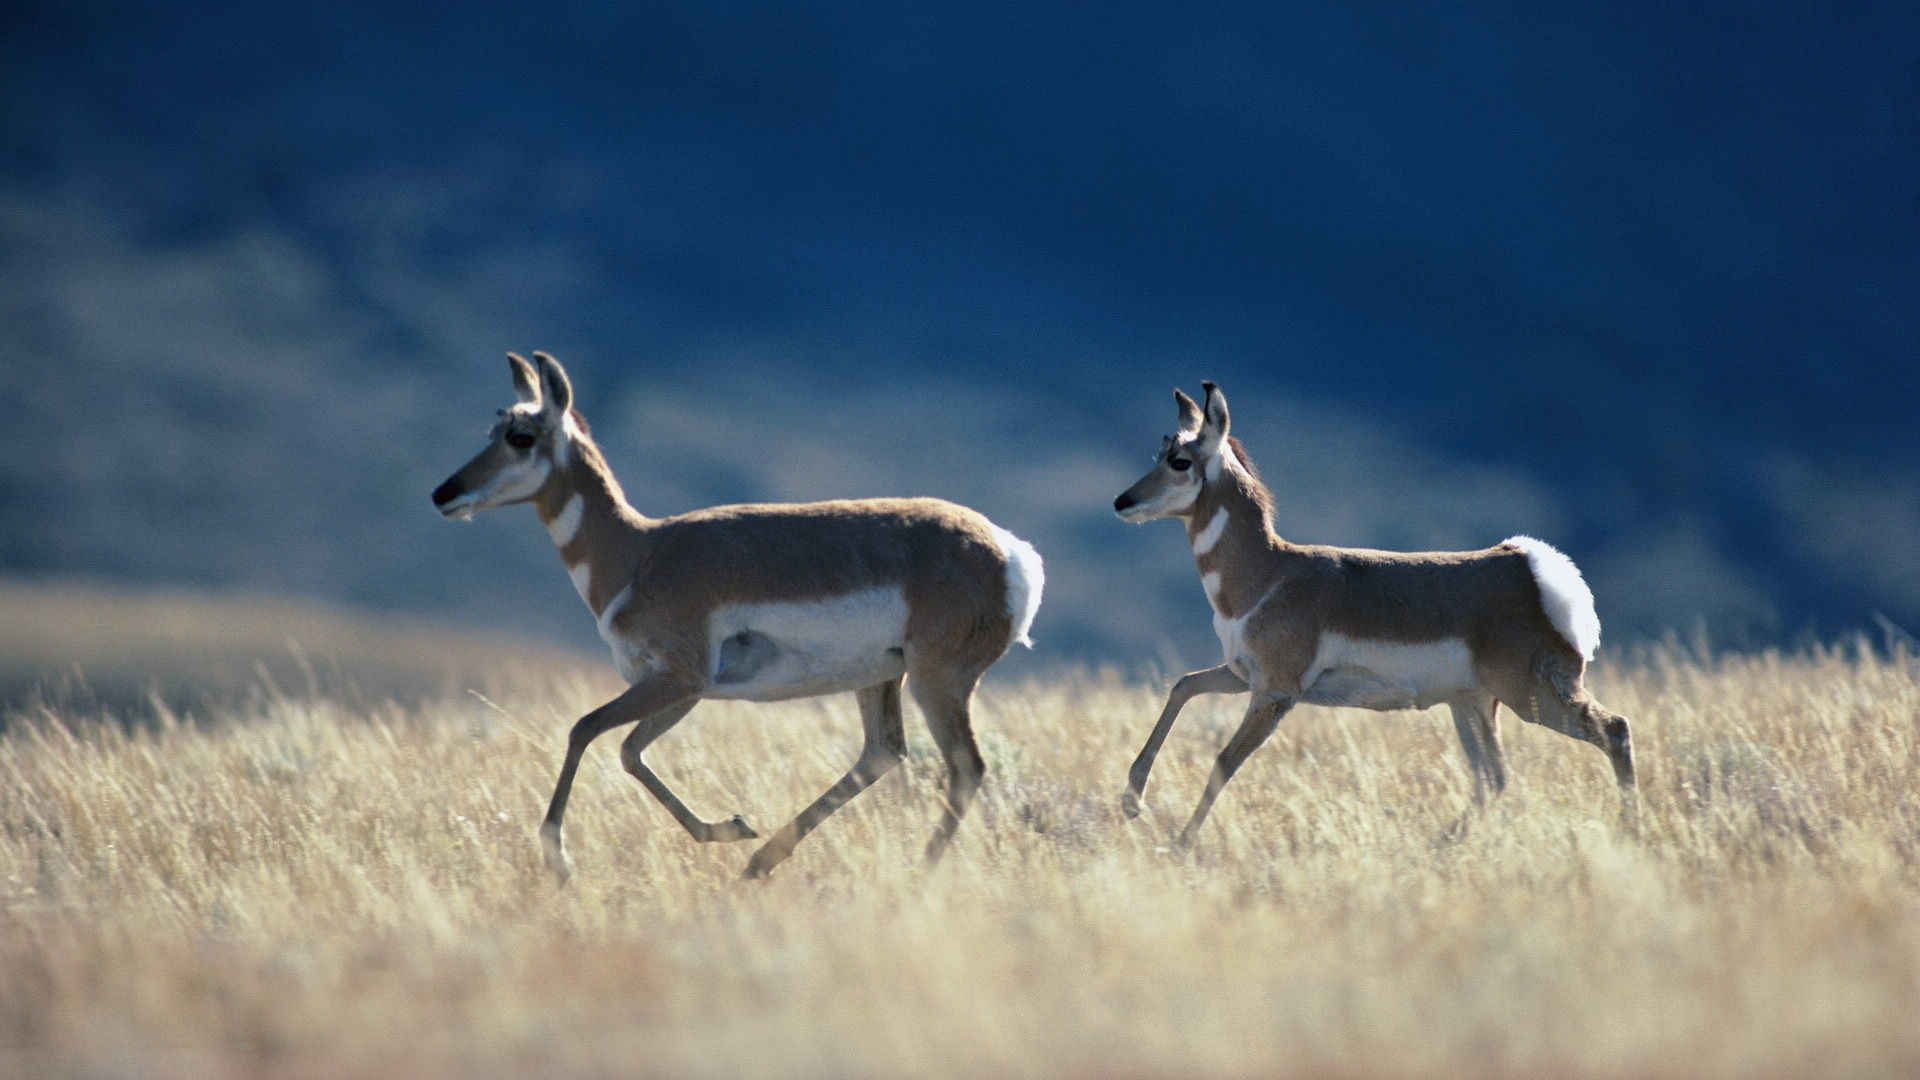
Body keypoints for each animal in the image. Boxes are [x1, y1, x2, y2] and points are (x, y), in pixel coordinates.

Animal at [433, 353, 1044, 876]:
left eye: (521, 436)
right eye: (493, 430)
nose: (444, 493)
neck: (639, 549)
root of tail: (1010, 550)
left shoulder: (677, 679)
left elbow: (584, 729)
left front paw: (558, 859)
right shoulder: (684, 690)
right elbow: (630, 751)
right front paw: (729, 827)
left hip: (934, 681)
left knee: (965, 766)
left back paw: (917, 873)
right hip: (880, 678)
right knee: (883, 753)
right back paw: (761, 859)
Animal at [1113, 378, 1635, 841]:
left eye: (1180, 460)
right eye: (1159, 452)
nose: (1122, 501)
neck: (1270, 571)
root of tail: (1524, 564)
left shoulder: (1275, 693)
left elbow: (1223, 760)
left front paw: (1181, 844)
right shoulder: (1243, 676)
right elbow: (1183, 686)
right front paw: (1132, 801)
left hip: (1533, 699)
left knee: (1614, 729)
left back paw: (1630, 830)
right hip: (1471, 703)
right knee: (1494, 777)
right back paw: (1439, 844)